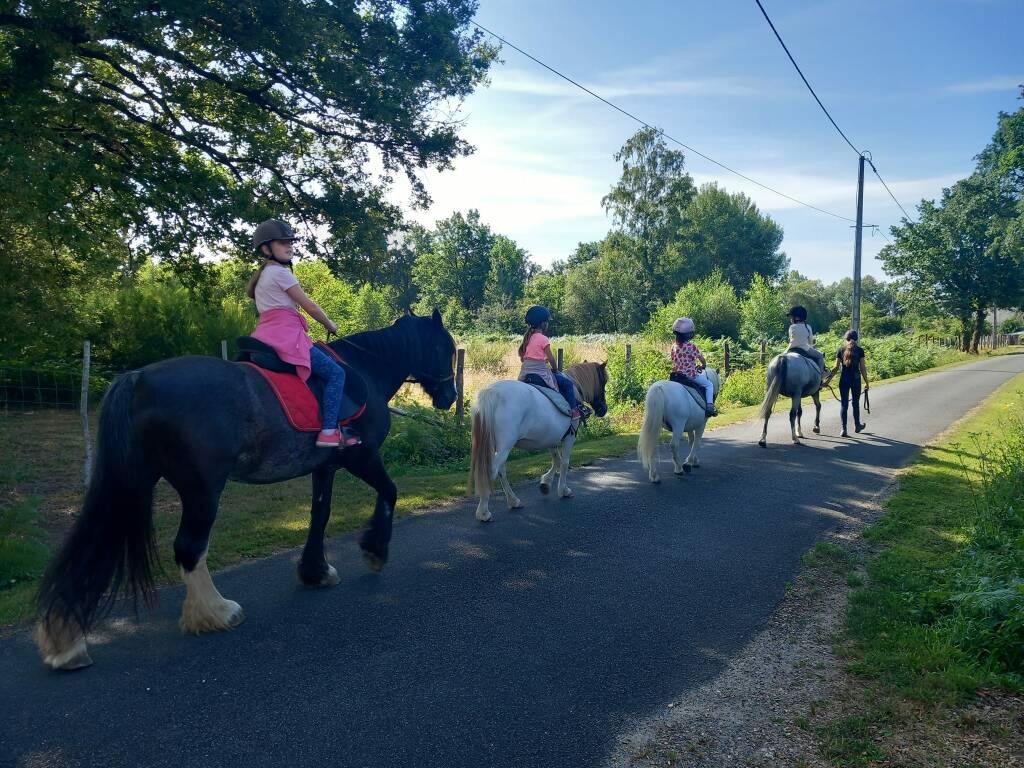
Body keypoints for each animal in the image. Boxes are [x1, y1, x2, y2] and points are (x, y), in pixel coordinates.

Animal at [37, 309, 456, 671]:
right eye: (446, 349)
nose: (450, 398)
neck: (365, 370)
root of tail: (138, 378)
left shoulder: (325, 466)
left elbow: (319, 515)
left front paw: (315, 571)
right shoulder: (362, 457)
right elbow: (390, 492)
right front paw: (374, 550)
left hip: (133, 482)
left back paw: (66, 642)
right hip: (201, 490)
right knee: (189, 547)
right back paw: (216, 611)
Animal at [471, 362, 606, 524]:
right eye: (604, 381)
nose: (603, 409)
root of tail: (491, 393)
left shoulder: (551, 439)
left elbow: (557, 461)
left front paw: (545, 484)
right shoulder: (569, 437)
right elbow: (564, 463)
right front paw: (563, 490)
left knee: (501, 471)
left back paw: (513, 501)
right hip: (505, 447)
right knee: (493, 470)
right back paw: (484, 512)